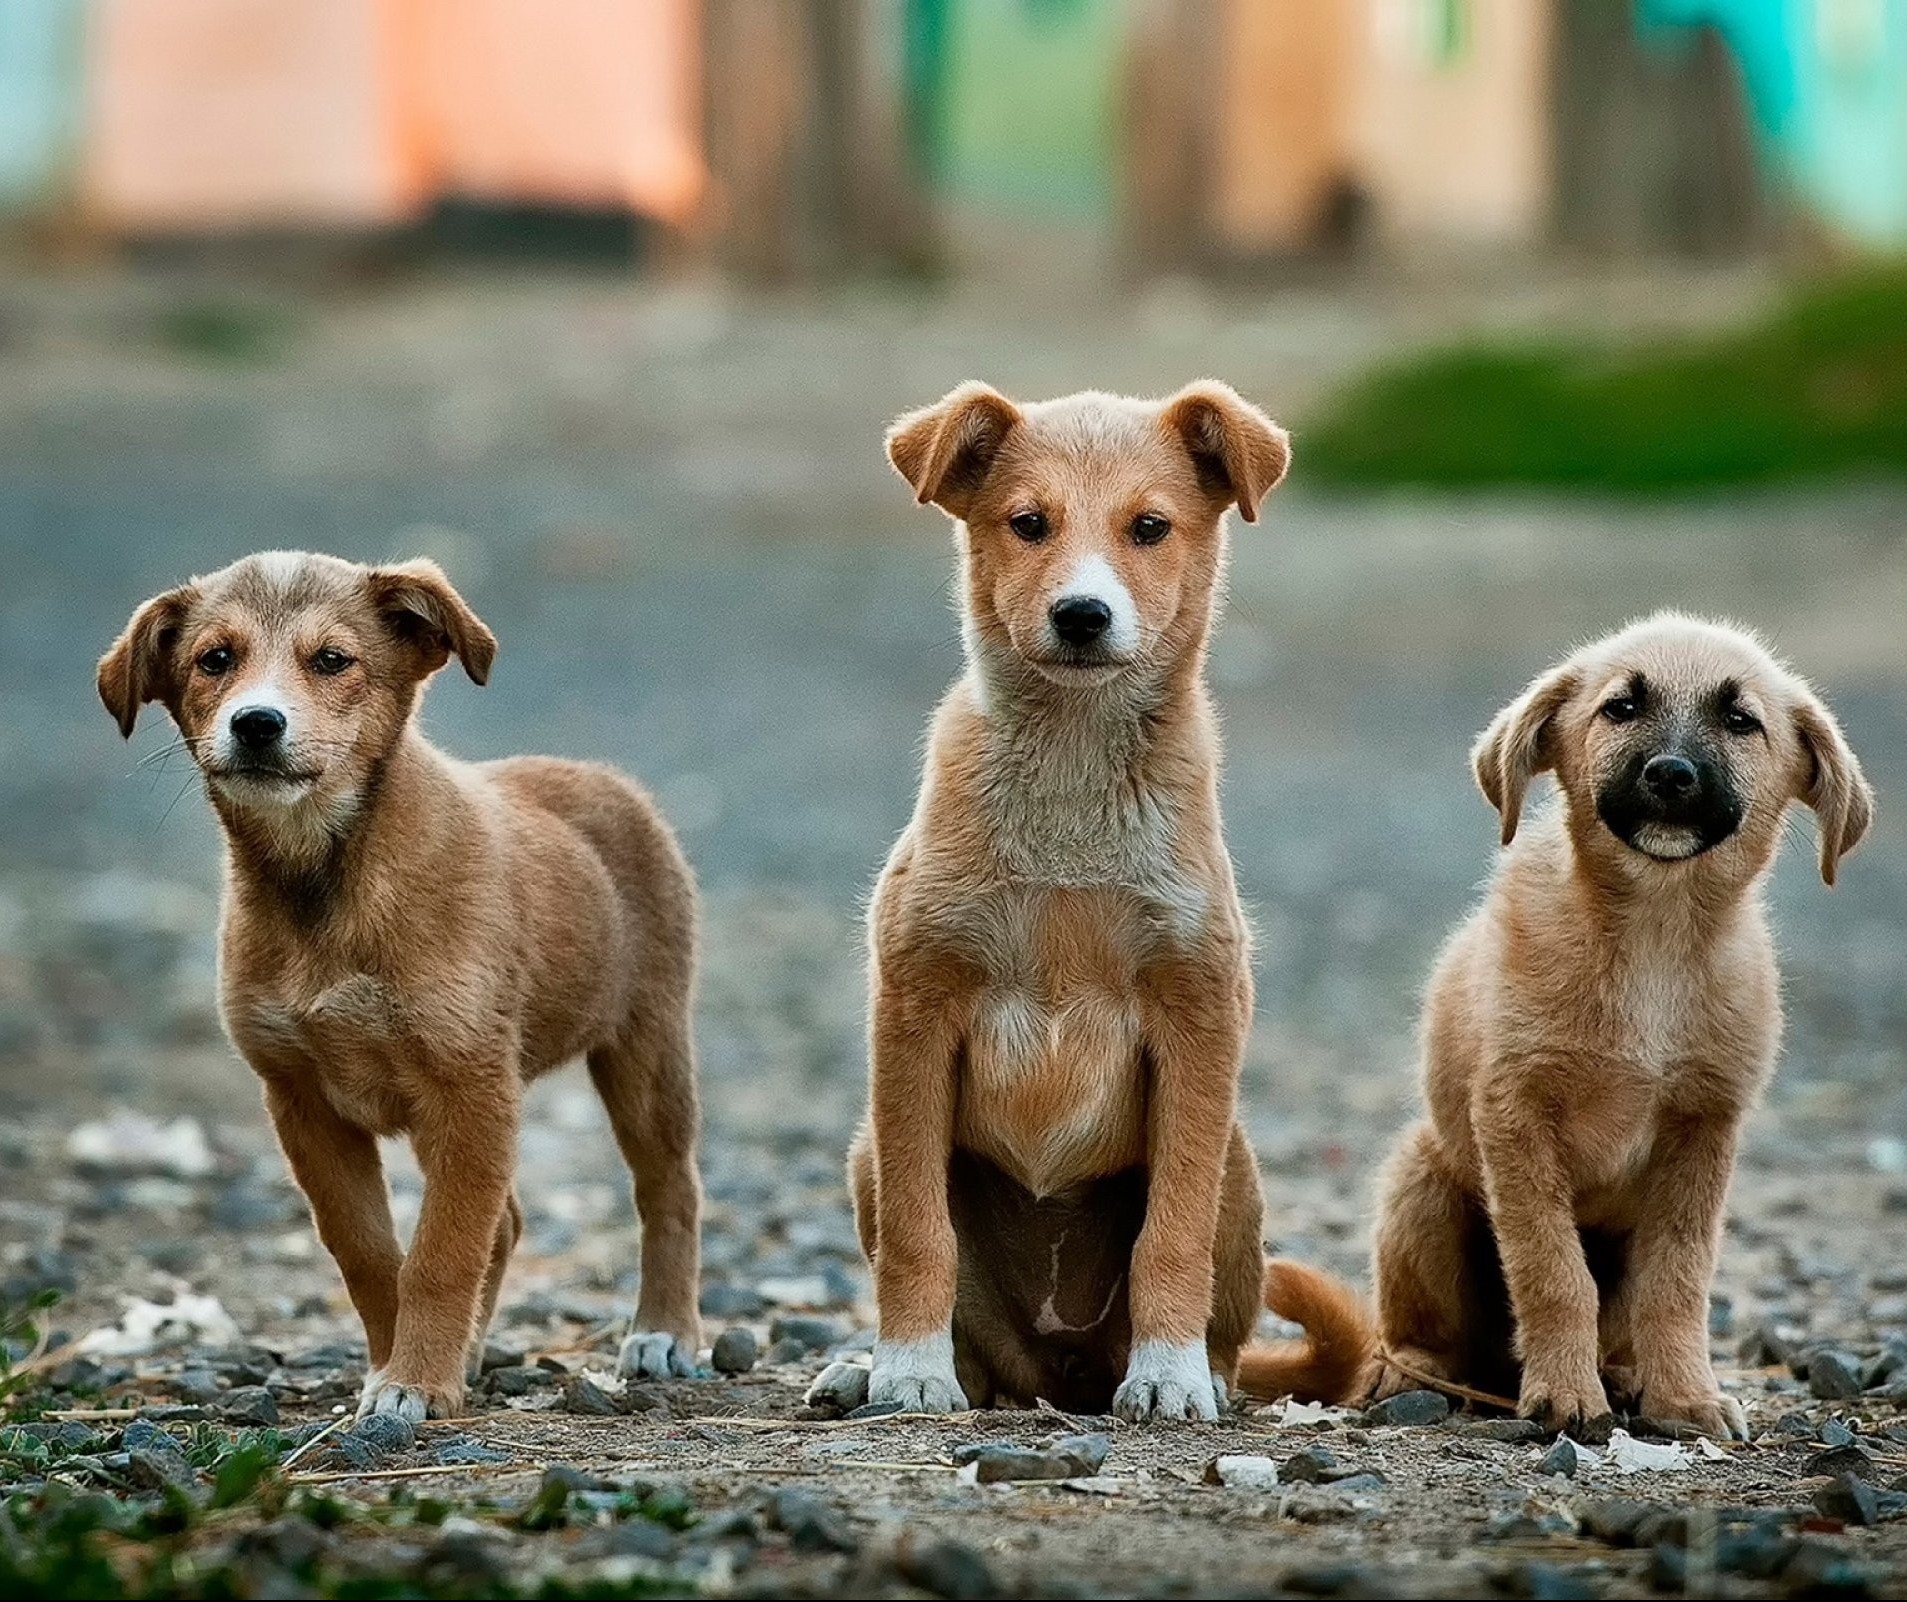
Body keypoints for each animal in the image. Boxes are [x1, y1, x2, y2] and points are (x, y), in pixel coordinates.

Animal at [98, 556, 709, 1418]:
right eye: (214, 659)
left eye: (332, 660)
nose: (257, 724)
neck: (325, 884)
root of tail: (600, 777)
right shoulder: (303, 1101)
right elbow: (369, 1252)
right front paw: (401, 1367)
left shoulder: (470, 1089)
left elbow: (441, 1253)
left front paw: (415, 1380)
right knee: (507, 1221)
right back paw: (475, 1352)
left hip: (646, 1047)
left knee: (668, 1190)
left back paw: (664, 1332)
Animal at [842, 381, 1289, 1418]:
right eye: (1027, 524)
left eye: (1149, 527)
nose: (1082, 614)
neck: (1072, 783)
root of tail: (1058, 1374)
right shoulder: (914, 1009)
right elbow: (919, 1234)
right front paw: (908, 1369)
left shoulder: (1199, 1014)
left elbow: (1171, 1232)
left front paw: (1168, 1377)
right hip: (865, 1152)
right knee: (970, 1332)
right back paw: (870, 1371)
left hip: (1239, 1165)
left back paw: (1196, 1372)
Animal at [1235, 614, 1876, 1441]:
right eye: (1620, 708)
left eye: (1740, 721)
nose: (1671, 775)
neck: (1652, 937)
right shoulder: (1515, 1115)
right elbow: (1551, 1270)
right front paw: (1566, 1396)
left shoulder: (1703, 1130)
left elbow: (1677, 1280)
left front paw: (1683, 1397)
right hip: (1421, 1182)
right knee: (1419, 1333)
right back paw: (1412, 1373)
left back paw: (1625, 1375)